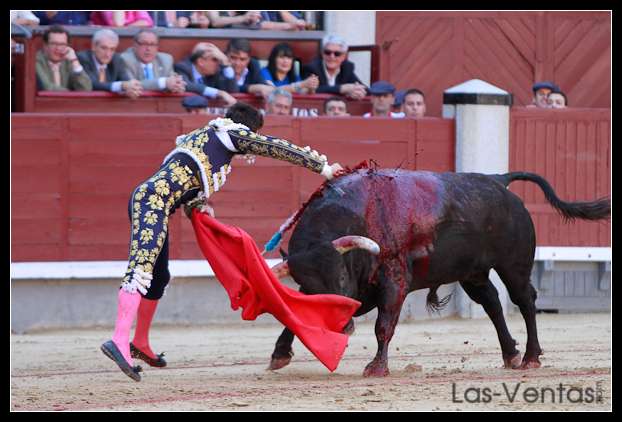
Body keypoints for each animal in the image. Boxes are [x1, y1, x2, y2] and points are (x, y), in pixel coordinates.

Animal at [268, 170, 608, 378]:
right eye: (307, 285)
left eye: (339, 277)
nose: (341, 326)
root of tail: (498, 180)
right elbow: (294, 317)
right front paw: (280, 354)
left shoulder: (393, 282)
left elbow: (384, 325)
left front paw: (377, 367)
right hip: (473, 274)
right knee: (493, 303)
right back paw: (510, 354)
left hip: (514, 265)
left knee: (524, 301)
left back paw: (530, 357)